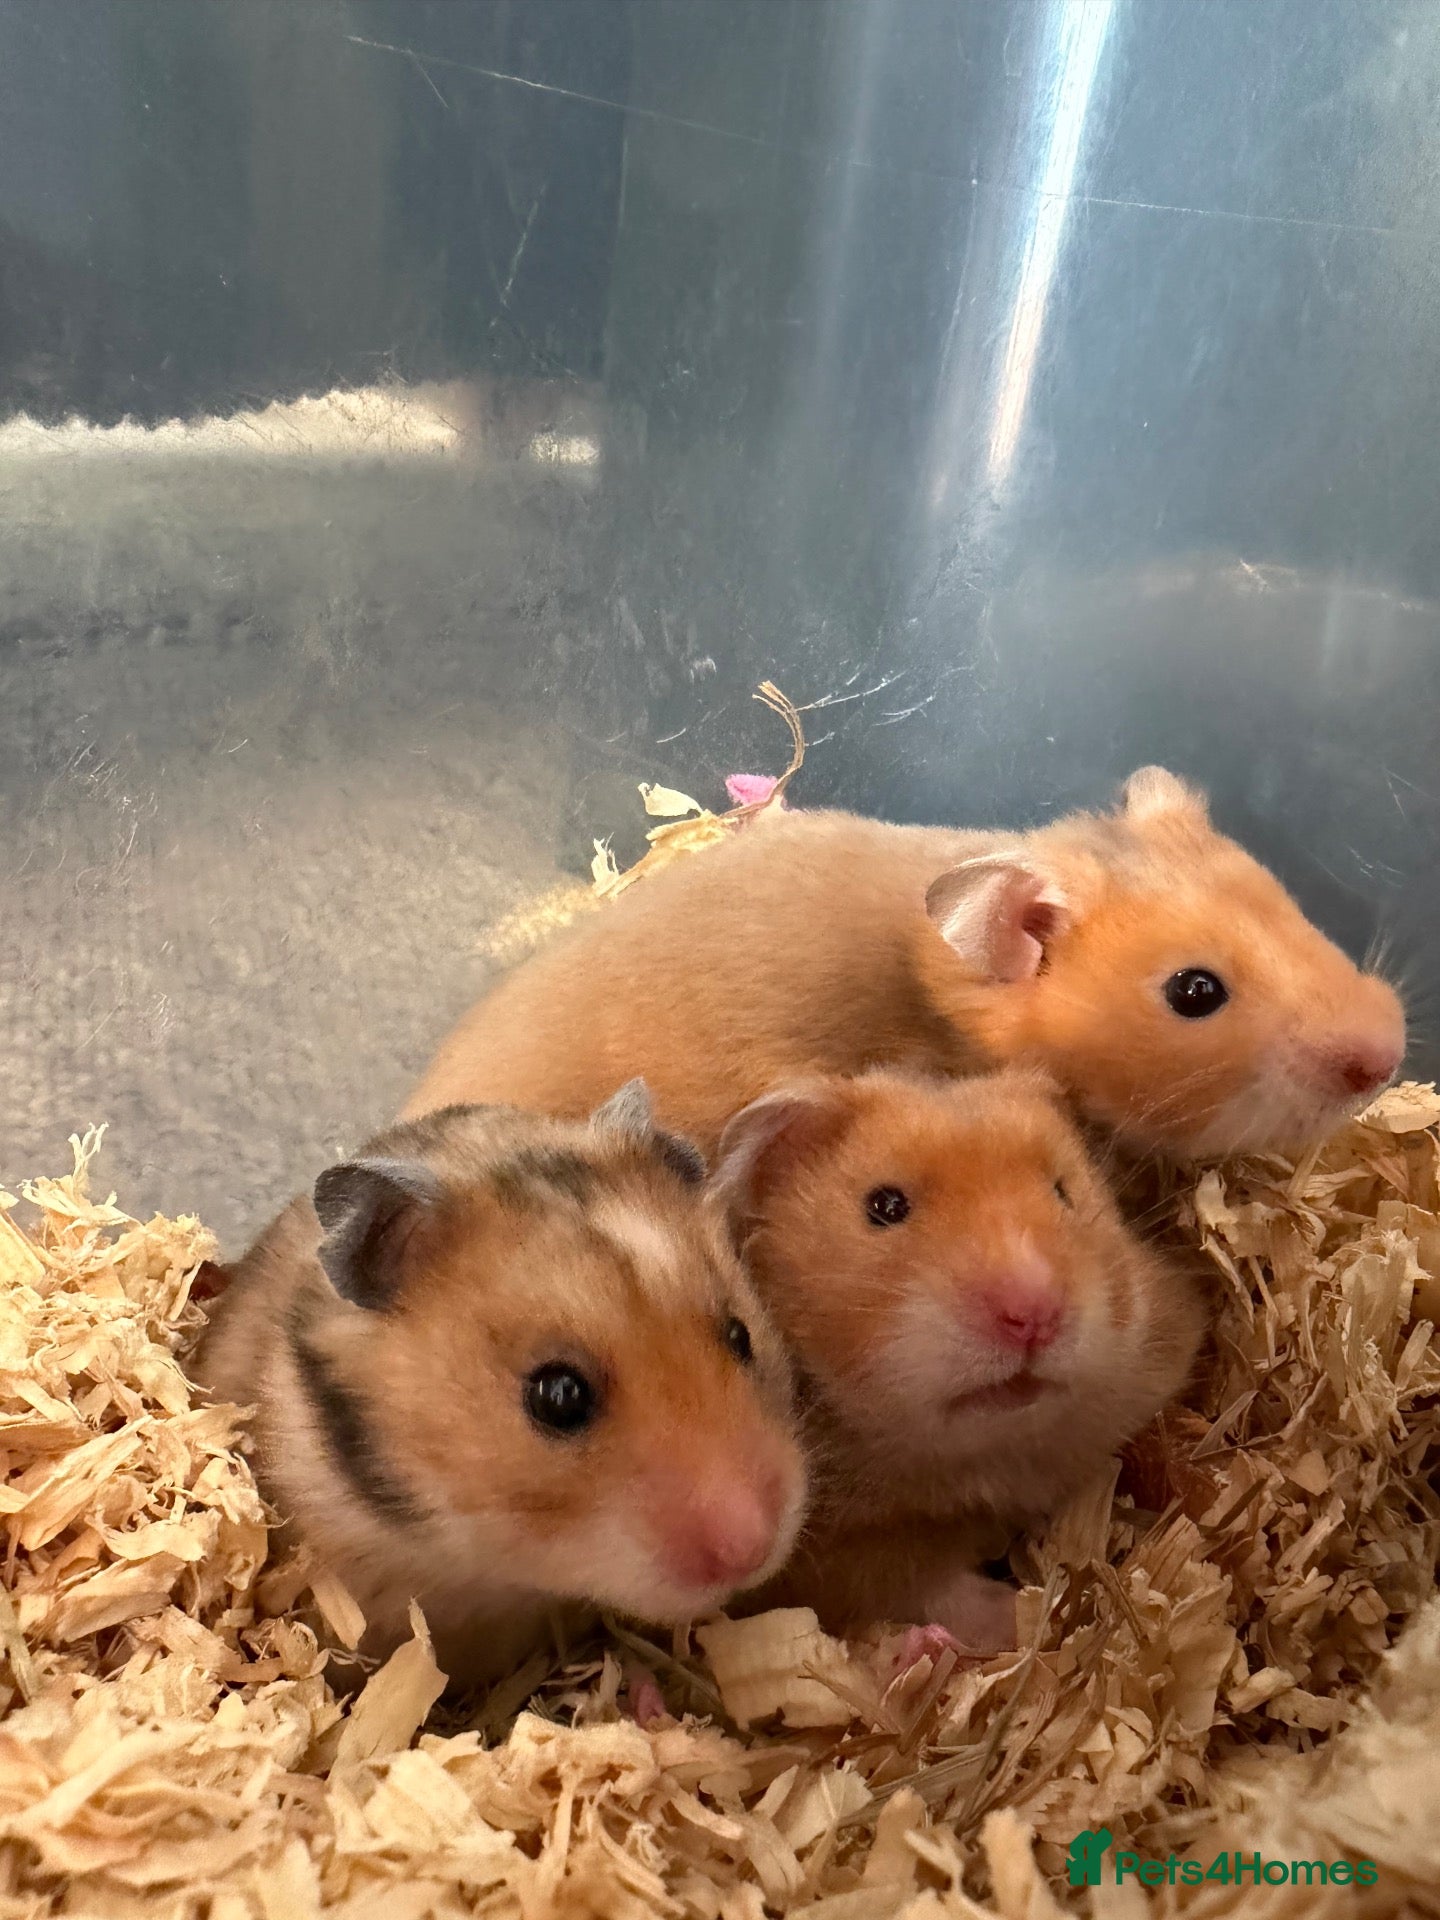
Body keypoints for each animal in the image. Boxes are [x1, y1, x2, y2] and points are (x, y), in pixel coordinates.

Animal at [711, 1067, 1207, 1647]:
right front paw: (1020, 1616)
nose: (1033, 1312)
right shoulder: (824, 1560)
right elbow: (920, 1583)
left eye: (1063, 1191)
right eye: (885, 1207)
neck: (993, 1453)